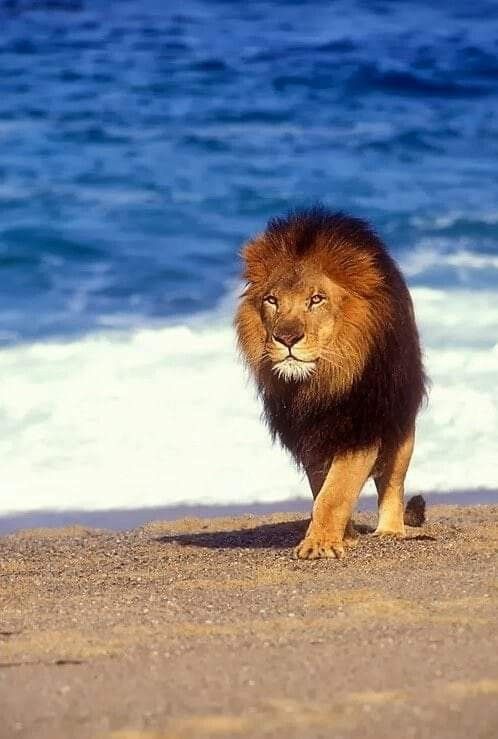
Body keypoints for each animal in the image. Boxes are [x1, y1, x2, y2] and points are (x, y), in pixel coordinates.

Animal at [235, 206, 427, 559]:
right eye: (271, 300)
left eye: (316, 299)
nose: (287, 338)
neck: (318, 384)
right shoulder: (309, 434)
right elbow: (322, 489)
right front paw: (342, 537)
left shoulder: (359, 427)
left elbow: (336, 492)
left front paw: (320, 544)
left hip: (400, 423)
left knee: (393, 483)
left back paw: (390, 531)